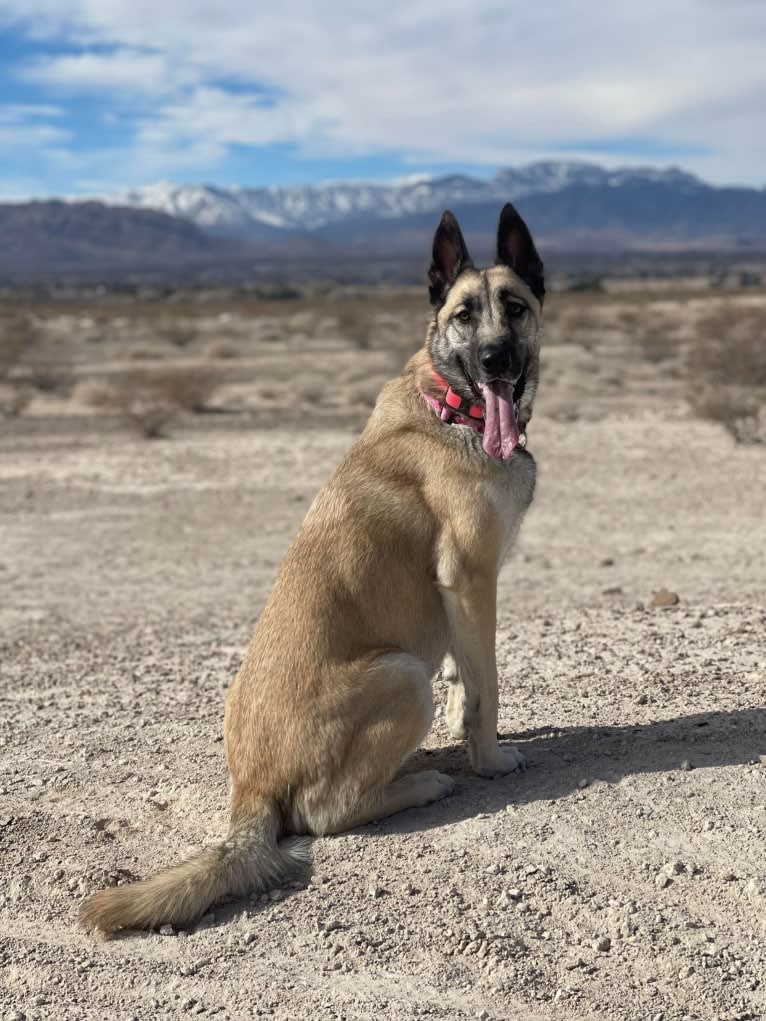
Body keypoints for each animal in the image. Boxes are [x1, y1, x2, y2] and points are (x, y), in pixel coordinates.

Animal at [79, 201, 547, 935]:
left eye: (516, 307)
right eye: (465, 315)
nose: (496, 359)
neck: (452, 407)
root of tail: (250, 790)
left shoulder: (458, 597)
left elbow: (466, 677)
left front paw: (467, 728)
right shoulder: (471, 577)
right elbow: (487, 684)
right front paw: (490, 758)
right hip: (400, 673)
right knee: (323, 814)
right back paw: (421, 782)